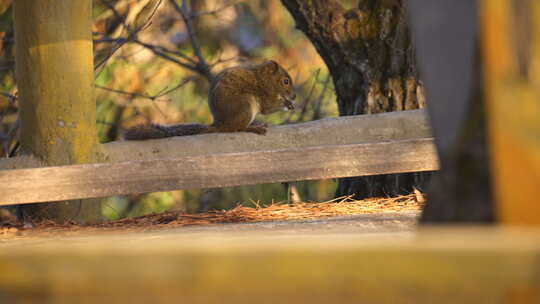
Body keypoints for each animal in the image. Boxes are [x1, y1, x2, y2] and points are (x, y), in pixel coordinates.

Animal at [123, 60, 296, 140]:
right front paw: (287, 104)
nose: (294, 96)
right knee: (235, 129)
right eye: (285, 81)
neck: (264, 78)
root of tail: (219, 124)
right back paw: (253, 128)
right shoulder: (265, 92)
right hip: (246, 105)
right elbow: (268, 107)